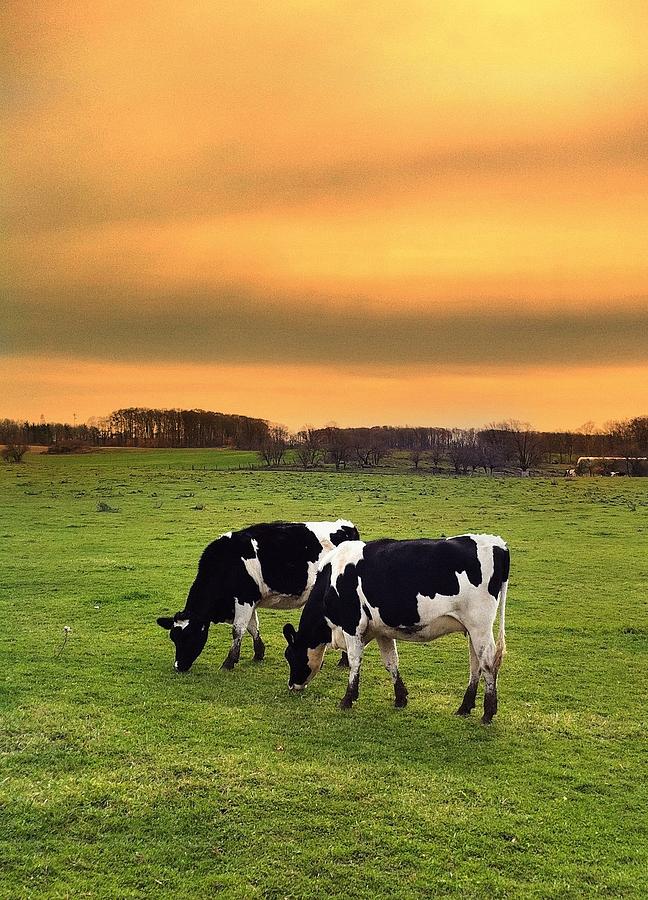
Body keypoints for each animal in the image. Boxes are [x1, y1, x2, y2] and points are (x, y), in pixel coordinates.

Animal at [157, 516, 360, 672]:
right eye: (173, 637)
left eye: (188, 636)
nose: (178, 666)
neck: (226, 564)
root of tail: (346, 526)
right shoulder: (250, 601)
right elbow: (252, 627)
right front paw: (258, 653)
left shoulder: (243, 599)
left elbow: (238, 630)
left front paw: (229, 662)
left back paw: (344, 660)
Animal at [284, 536, 512, 724]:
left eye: (291, 656)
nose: (292, 685)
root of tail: (498, 544)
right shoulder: (382, 631)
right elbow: (391, 662)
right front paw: (400, 698)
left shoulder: (352, 625)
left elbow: (354, 661)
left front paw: (347, 699)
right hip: (472, 630)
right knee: (475, 666)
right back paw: (465, 707)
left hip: (480, 626)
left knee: (488, 664)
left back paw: (488, 713)